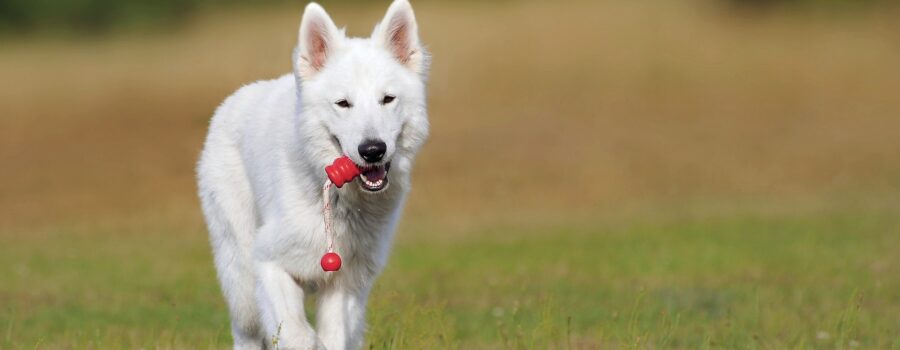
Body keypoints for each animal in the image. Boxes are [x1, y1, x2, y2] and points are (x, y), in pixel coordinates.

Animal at [197, 1, 428, 348]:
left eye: (387, 99)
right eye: (343, 104)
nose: (372, 150)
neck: (336, 197)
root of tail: (233, 100)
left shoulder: (345, 284)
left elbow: (332, 337)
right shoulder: (269, 263)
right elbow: (299, 334)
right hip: (242, 283)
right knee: (246, 330)